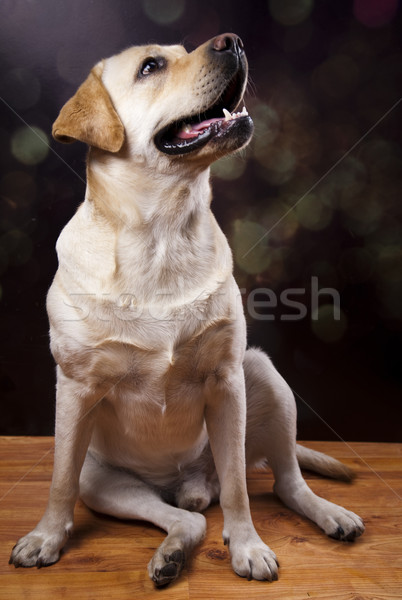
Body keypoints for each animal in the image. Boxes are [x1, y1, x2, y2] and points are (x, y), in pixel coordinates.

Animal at [9, 32, 362, 584]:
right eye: (151, 66)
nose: (233, 40)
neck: (163, 232)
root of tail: (184, 483)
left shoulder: (227, 381)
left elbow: (239, 489)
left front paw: (247, 545)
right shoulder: (75, 388)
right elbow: (59, 481)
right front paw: (46, 537)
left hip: (265, 378)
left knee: (281, 481)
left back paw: (328, 513)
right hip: (105, 483)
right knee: (186, 518)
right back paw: (171, 552)